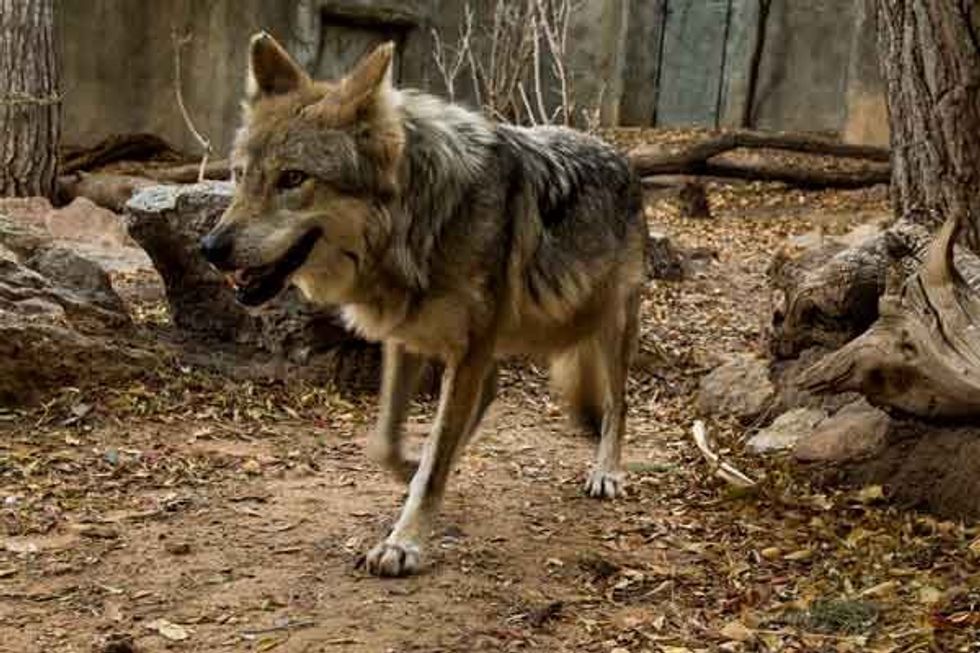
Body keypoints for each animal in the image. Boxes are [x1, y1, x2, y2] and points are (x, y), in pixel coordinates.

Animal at [200, 33, 647, 577]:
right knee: (492, 392)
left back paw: (607, 472)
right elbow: (387, 444)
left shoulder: (468, 347)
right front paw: (413, 469)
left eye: (292, 178)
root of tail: (620, 156)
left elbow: (434, 461)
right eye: (240, 175)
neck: (420, 220)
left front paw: (404, 543)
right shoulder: (406, 339)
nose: (210, 248)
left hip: (608, 327)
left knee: (618, 405)